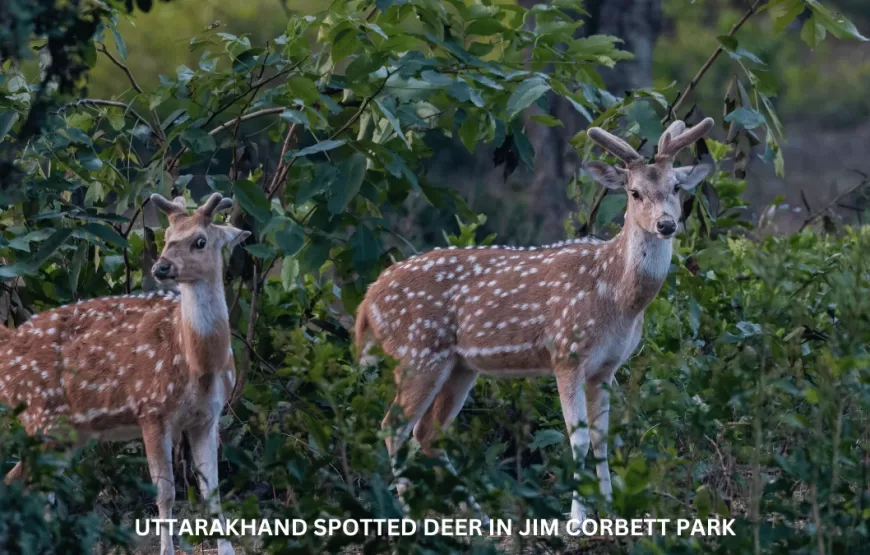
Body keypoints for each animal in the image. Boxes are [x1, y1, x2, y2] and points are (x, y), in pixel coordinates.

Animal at [0, 192, 249, 555]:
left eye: (200, 241)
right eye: (166, 237)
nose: (161, 267)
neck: (199, 365)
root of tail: (7, 346)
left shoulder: (208, 417)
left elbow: (212, 493)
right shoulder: (151, 408)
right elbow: (166, 492)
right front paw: (166, 550)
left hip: (69, 431)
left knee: (27, 483)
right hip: (40, 414)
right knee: (24, 482)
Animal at [354, 116, 716, 524]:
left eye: (675, 187)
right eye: (635, 192)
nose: (666, 224)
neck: (617, 297)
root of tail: (367, 301)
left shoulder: (606, 367)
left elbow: (601, 437)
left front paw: (609, 511)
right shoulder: (566, 353)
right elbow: (577, 437)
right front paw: (577, 518)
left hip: (459, 366)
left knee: (427, 432)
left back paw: (479, 516)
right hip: (417, 351)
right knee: (393, 426)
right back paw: (406, 514)